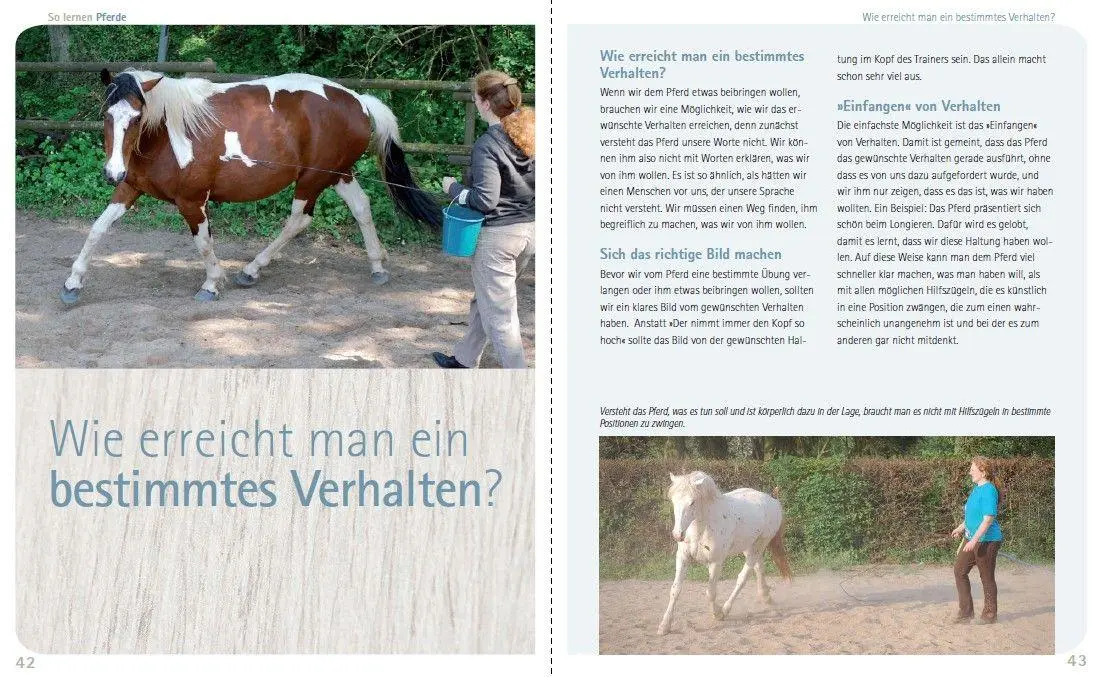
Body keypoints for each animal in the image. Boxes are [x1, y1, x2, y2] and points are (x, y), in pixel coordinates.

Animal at [60, 68, 441, 304]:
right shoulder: (130, 190)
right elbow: (97, 229)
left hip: (312, 179)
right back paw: (377, 264)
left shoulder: (192, 200)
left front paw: (212, 284)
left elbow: (203, 243)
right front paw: (72, 284)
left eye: (137, 117)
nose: (112, 173)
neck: (167, 134)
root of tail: (360, 100)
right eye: (107, 115)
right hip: (338, 173)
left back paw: (252, 269)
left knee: (299, 220)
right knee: (361, 206)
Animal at [658, 471, 792, 636]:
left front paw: (717, 614)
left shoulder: (715, 563)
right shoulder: (683, 558)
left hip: (759, 545)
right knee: (759, 568)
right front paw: (664, 626)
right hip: (749, 547)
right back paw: (766, 598)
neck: (702, 528)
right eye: (673, 500)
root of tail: (773, 501)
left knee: (743, 577)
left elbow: (710, 592)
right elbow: (675, 590)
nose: (678, 535)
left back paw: (726, 609)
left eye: (692, 502)